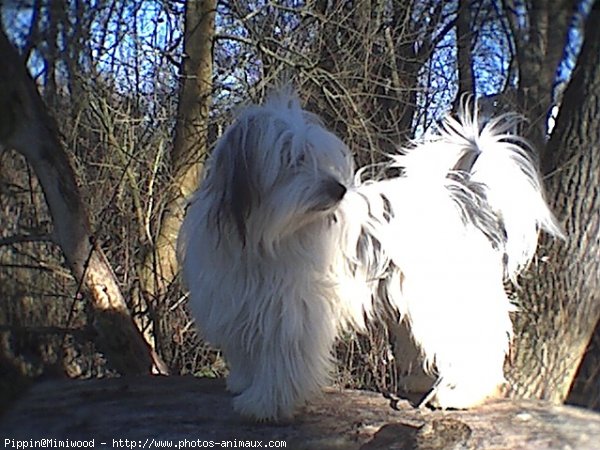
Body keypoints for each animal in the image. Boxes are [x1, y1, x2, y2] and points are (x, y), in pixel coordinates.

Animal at [177, 91, 564, 422]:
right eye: (294, 159)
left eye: (319, 158)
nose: (337, 189)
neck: (264, 235)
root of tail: (463, 195)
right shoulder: (240, 300)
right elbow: (247, 351)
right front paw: (244, 383)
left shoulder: (292, 308)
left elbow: (281, 358)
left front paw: (266, 403)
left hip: (446, 297)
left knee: (475, 341)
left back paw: (461, 393)